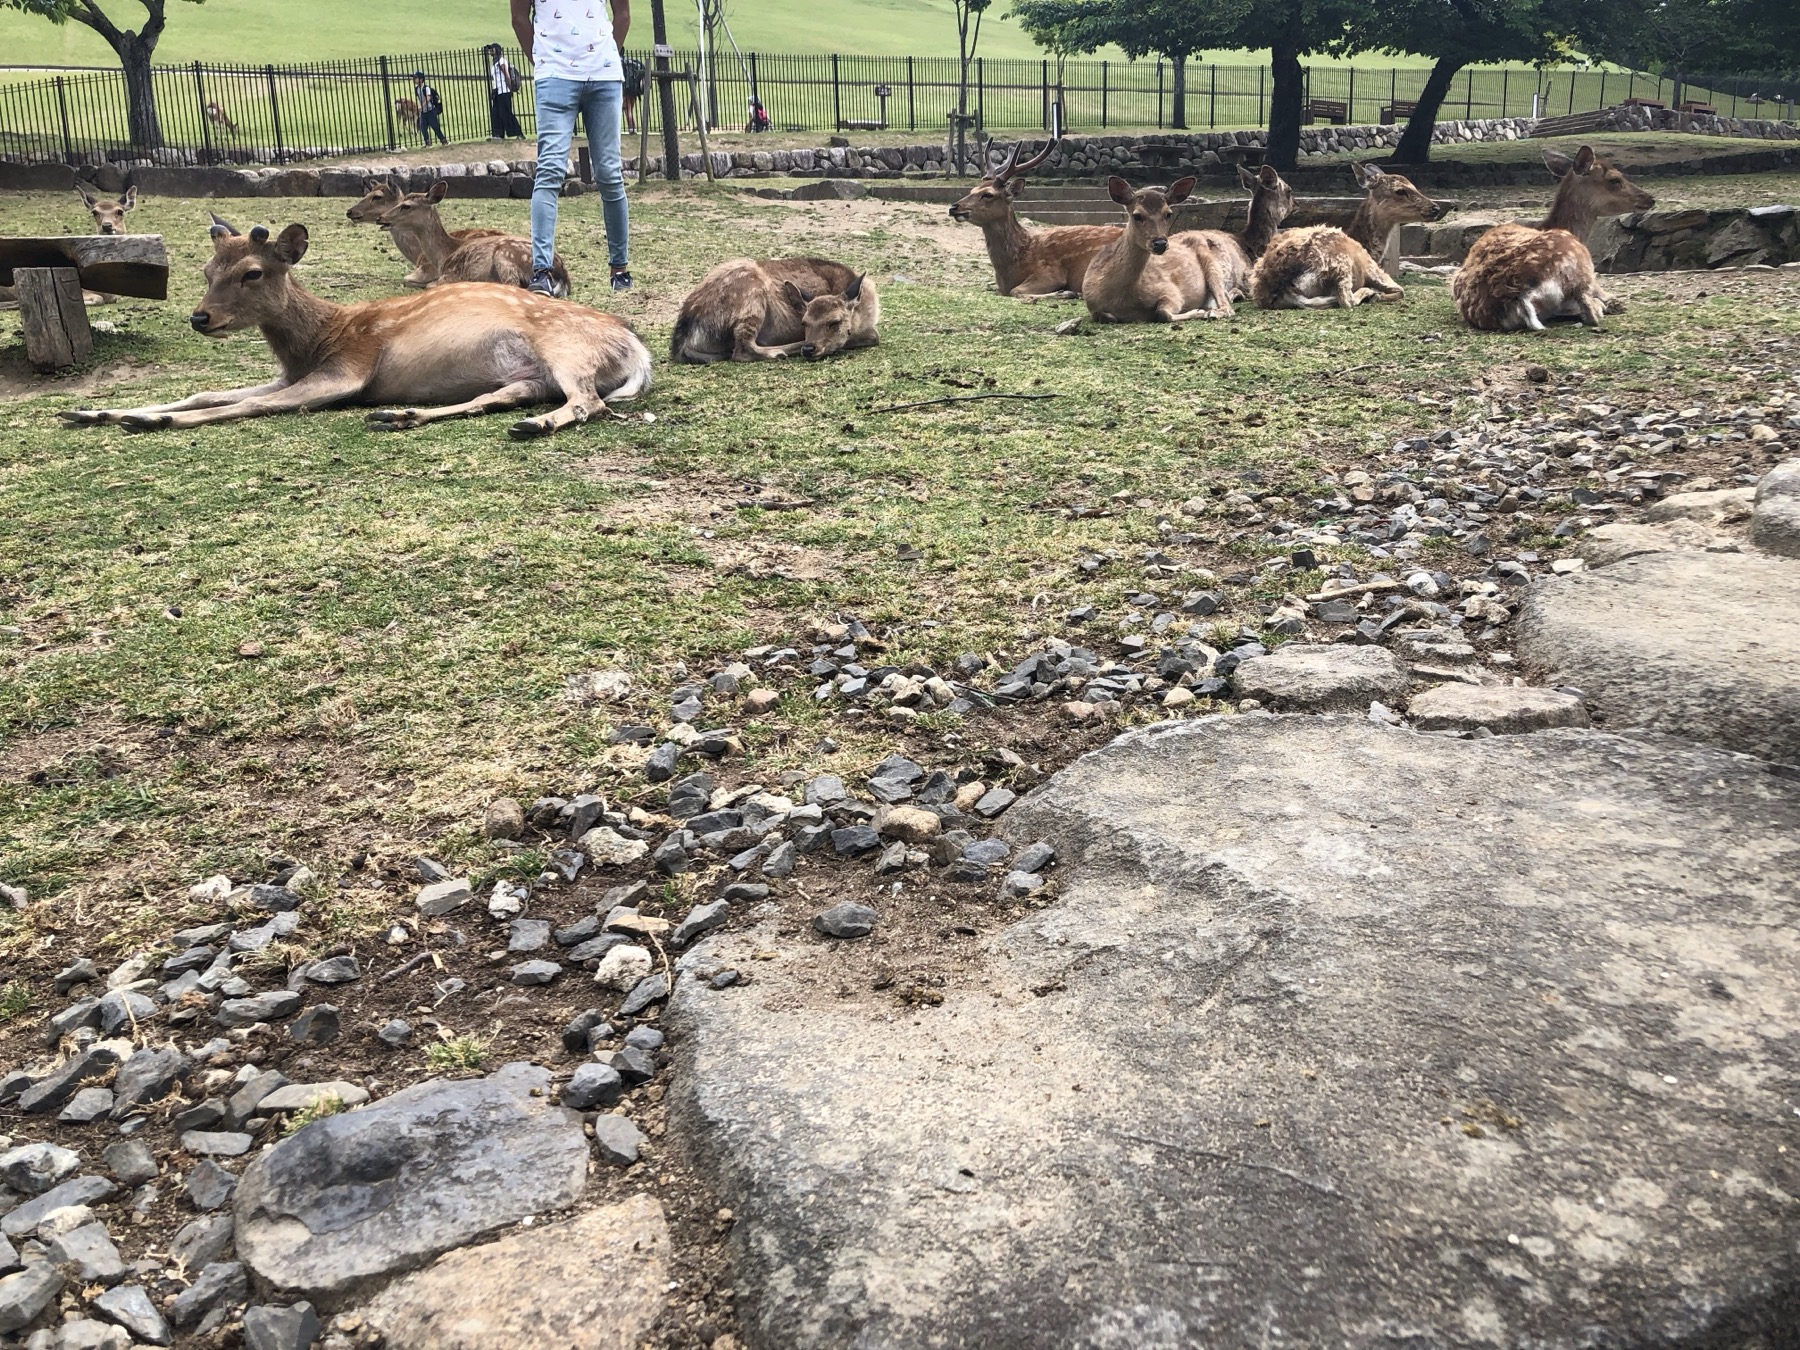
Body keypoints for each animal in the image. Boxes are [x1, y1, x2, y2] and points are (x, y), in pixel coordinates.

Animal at [58, 216, 651, 440]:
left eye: (252, 272)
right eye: (206, 271)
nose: (200, 317)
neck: (315, 341)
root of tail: (637, 350)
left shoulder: (347, 370)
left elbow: (249, 405)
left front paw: (146, 420)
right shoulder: (292, 372)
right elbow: (209, 392)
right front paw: (92, 411)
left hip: (567, 350)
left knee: (588, 402)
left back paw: (536, 425)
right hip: (530, 374)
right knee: (499, 397)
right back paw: (398, 415)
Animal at [378, 182, 570, 296]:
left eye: (406, 206)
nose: (381, 218)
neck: (443, 255)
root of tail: (563, 276)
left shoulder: (452, 274)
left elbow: (429, 285)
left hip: (505, 255)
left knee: (513, 285)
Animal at [671, 258, 878, 363]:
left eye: (835, 322)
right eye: (804, 322)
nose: (809, 348)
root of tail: (683, 340)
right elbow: (874, 336)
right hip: (751, 297)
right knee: (742, 349)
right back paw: (781, 351)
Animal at [948, 138, 1121, 300]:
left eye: (988, 194)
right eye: (972, 190)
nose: (954, 208)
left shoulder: (1050, 271)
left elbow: (1016, 291)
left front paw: (1066, 293)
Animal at [1083, 177, 1237, 324]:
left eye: (1168, 214)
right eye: (1137, 215)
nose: (1160, 243)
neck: (1120, 300)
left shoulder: (1171, 290)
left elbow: (1162, 313)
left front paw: (1197, 311)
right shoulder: (1093, 306)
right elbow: (1104, 316)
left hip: (1213, 265)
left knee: (1228, 306)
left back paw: (1212, 312)